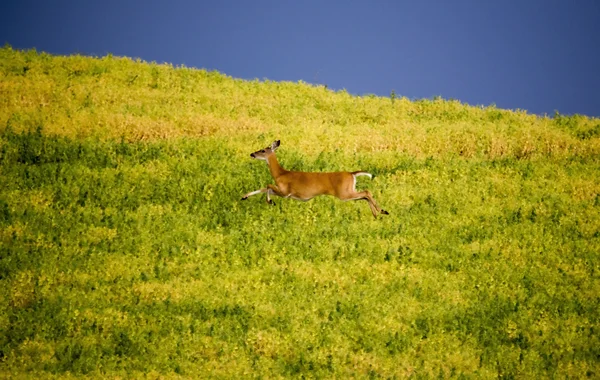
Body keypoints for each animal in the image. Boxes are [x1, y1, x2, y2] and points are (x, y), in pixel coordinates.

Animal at [241, 140, 392, 218]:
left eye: (262, 150)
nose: (252, 154)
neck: (280, 174)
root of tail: (352, 173)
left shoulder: (286, 192)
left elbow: (267, 186)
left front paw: (270, 202)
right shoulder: (283, 192)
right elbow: (263, 188)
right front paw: (244, 197)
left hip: (343, 193)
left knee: (366, 192)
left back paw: (381, 211)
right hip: (349, 191)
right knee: (365, 195)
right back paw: (378, 213)